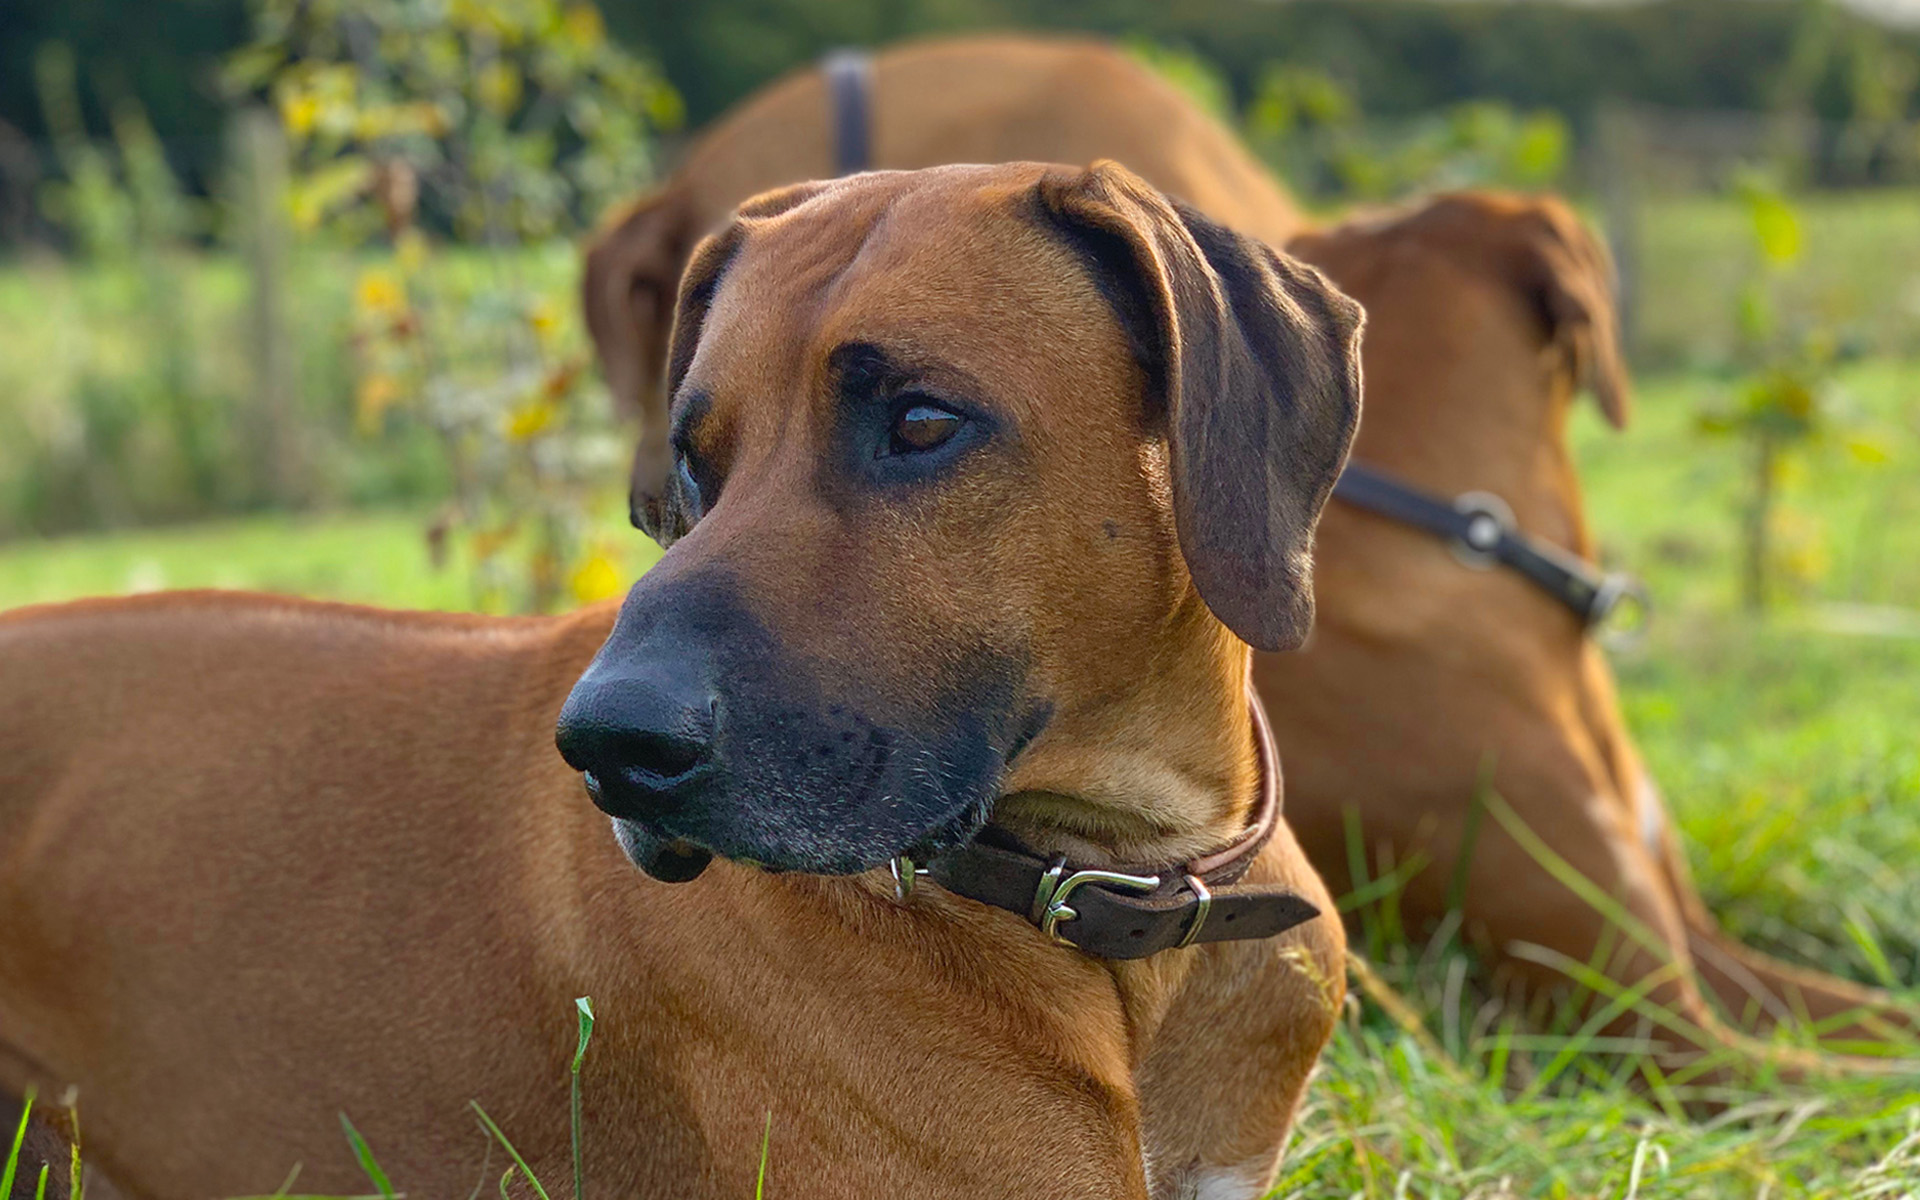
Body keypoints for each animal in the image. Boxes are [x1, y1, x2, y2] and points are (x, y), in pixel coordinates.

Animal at [584, 35, 1917, 1083]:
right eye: (700, 461)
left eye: (920, 422)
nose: (604, 741)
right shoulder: (1654, 1023)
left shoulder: (1708, 964)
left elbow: (1877, 1015)